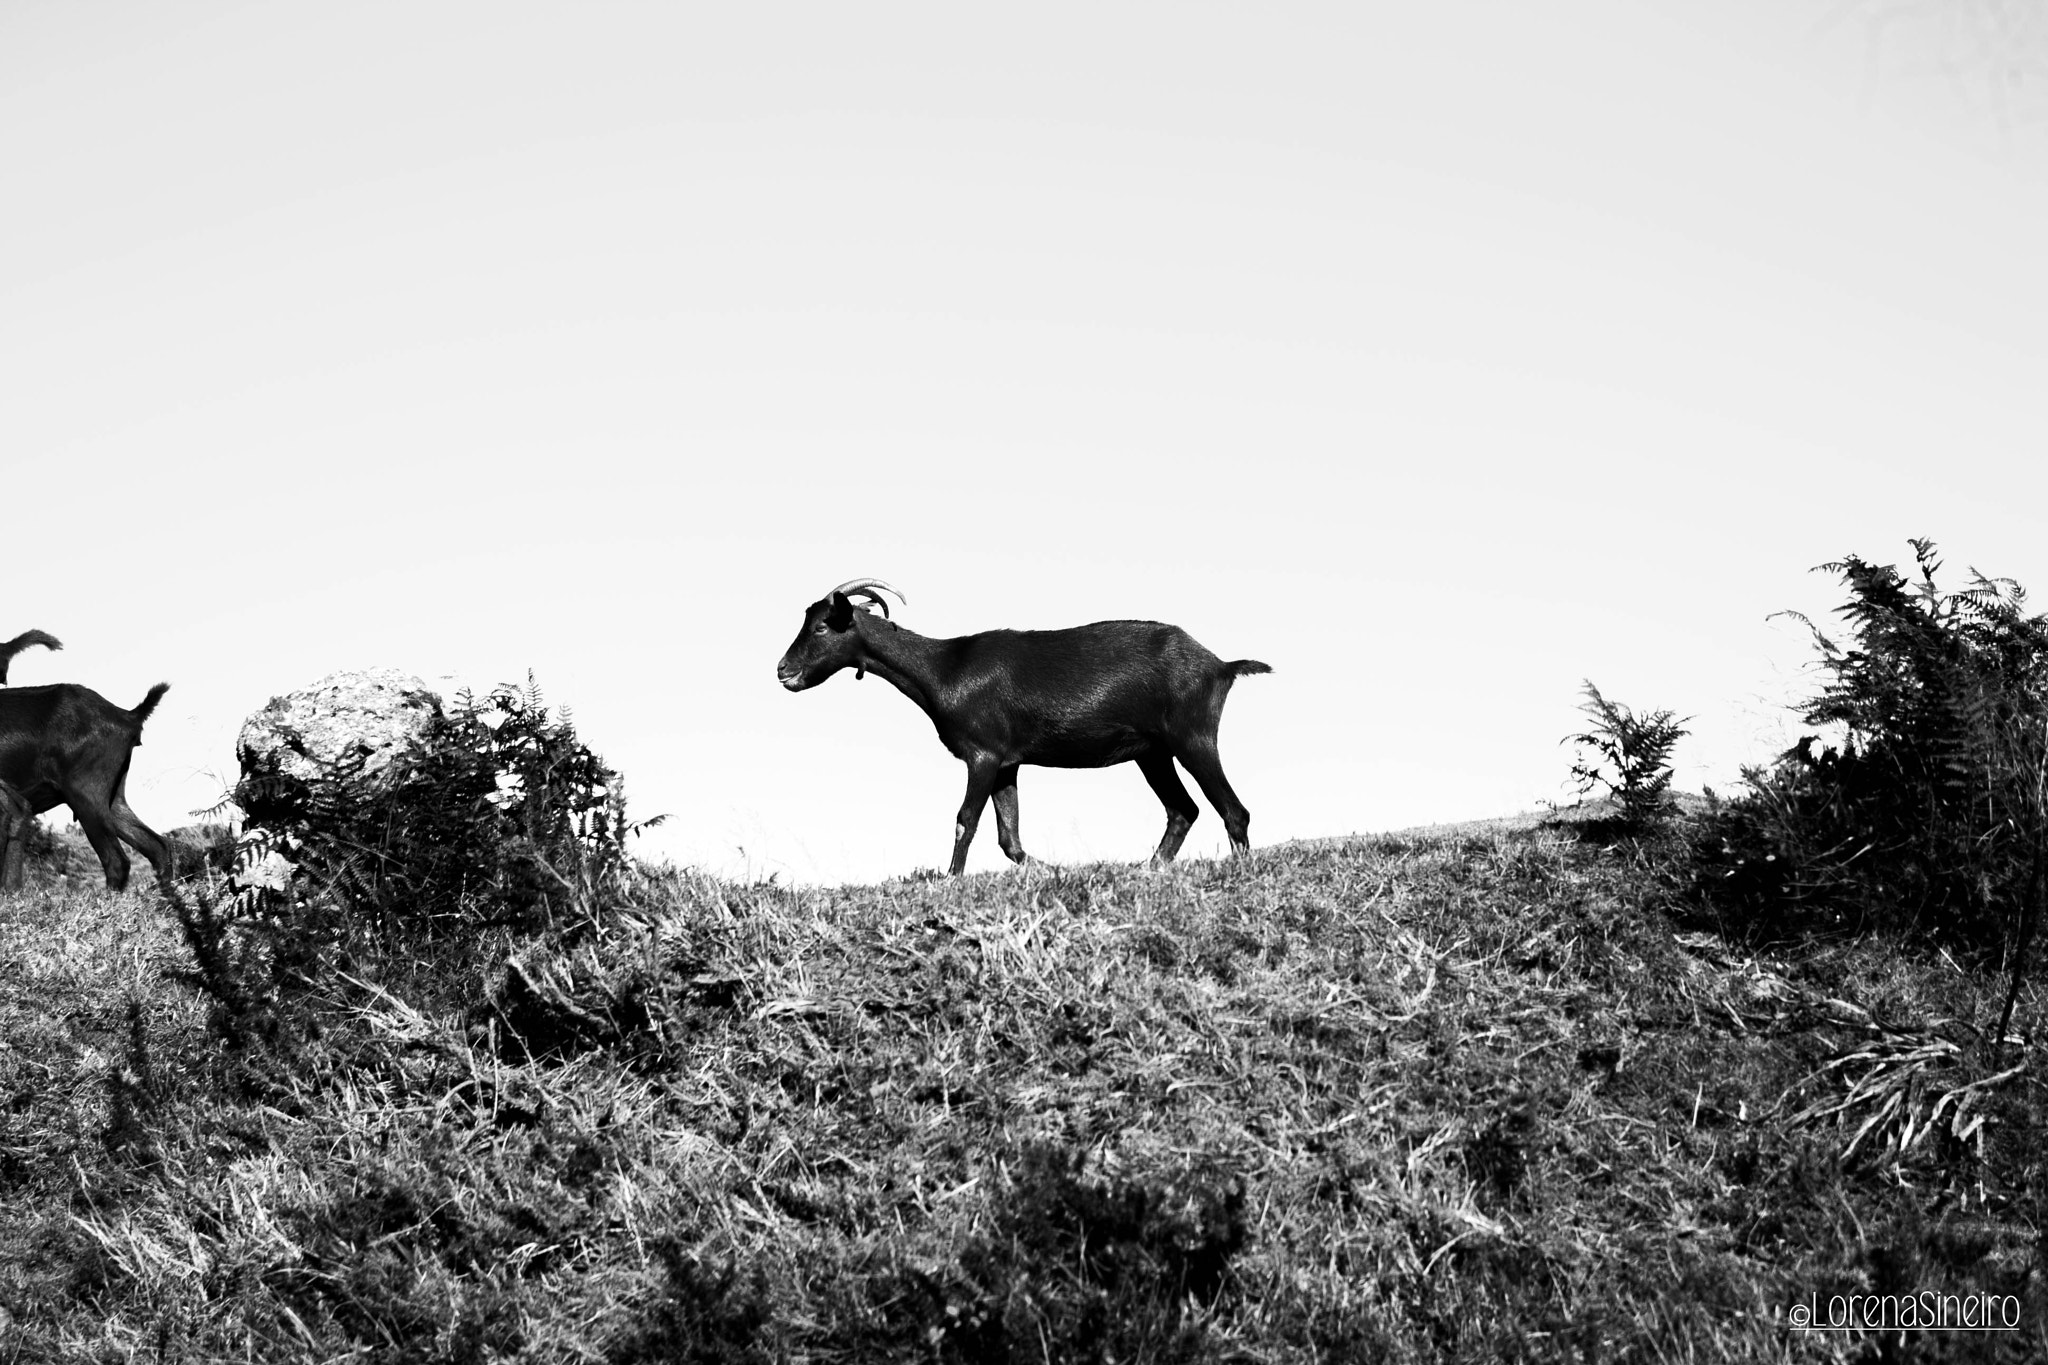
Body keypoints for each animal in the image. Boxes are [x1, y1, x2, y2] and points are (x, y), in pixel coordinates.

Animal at [776, 578, 1270, 875]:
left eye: (822, 627)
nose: (783, 670)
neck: (944, 669)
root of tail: (1221, 666)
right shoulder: (1007, 762)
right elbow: (1008, 837)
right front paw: (1051, 871)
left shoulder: (982, 753)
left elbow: (965, 821)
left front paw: (951, 879)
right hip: (1153, 752)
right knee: (1183, 810)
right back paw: (1148, 869)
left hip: (1192, 736)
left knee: (1233, 810)